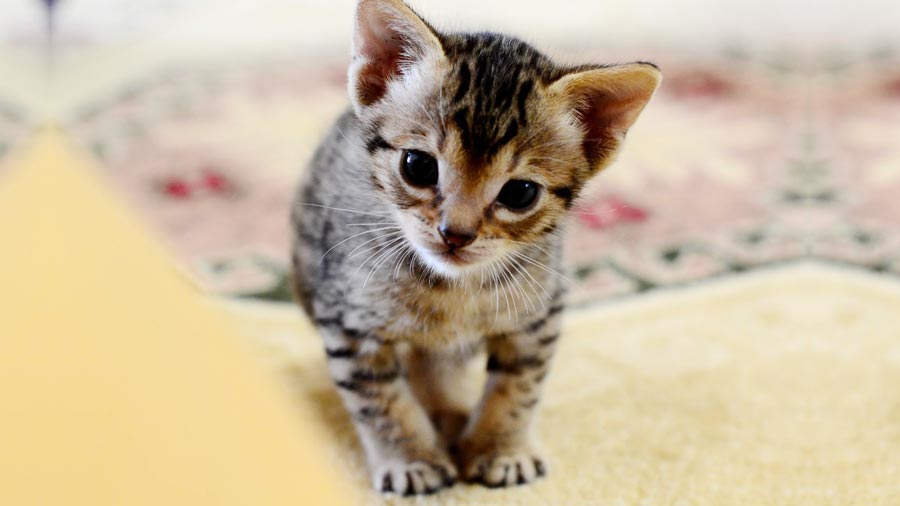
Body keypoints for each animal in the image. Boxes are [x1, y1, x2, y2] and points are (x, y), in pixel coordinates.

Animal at [294, 0, 660, 494]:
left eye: (520, 193)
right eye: (417, 165)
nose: (456, 233)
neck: (453, 289)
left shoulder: (538, 315)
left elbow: (518, 389)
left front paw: (500, 448)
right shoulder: (348, 320)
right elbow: (380, 400)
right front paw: (412, 458)